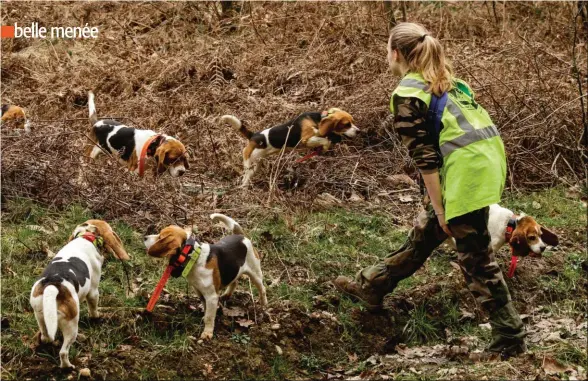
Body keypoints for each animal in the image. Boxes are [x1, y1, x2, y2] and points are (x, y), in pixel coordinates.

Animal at [29, 220, 130, 368]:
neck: (85, 237)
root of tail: (52, 285)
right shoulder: (93, 291)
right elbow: (93, 309)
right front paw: (96, 318)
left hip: (41, 317)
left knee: (45, 337)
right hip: (71, 326)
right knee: (63, 352)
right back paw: (68, 367)